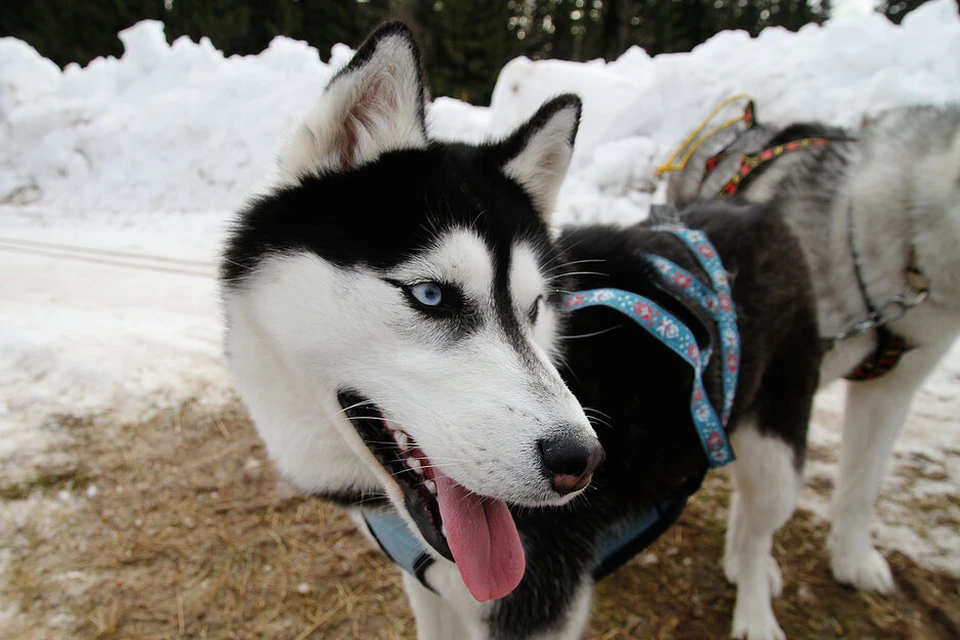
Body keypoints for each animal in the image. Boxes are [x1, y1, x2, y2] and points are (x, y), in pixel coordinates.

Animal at [221, 22, 820, 636]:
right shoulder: (432, 593)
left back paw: (755, 604)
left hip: (777, 449)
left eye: (534, 308)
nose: (581, 462)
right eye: (431, 295)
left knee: (762, 521)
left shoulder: (537, 606)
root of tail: (748, 208)